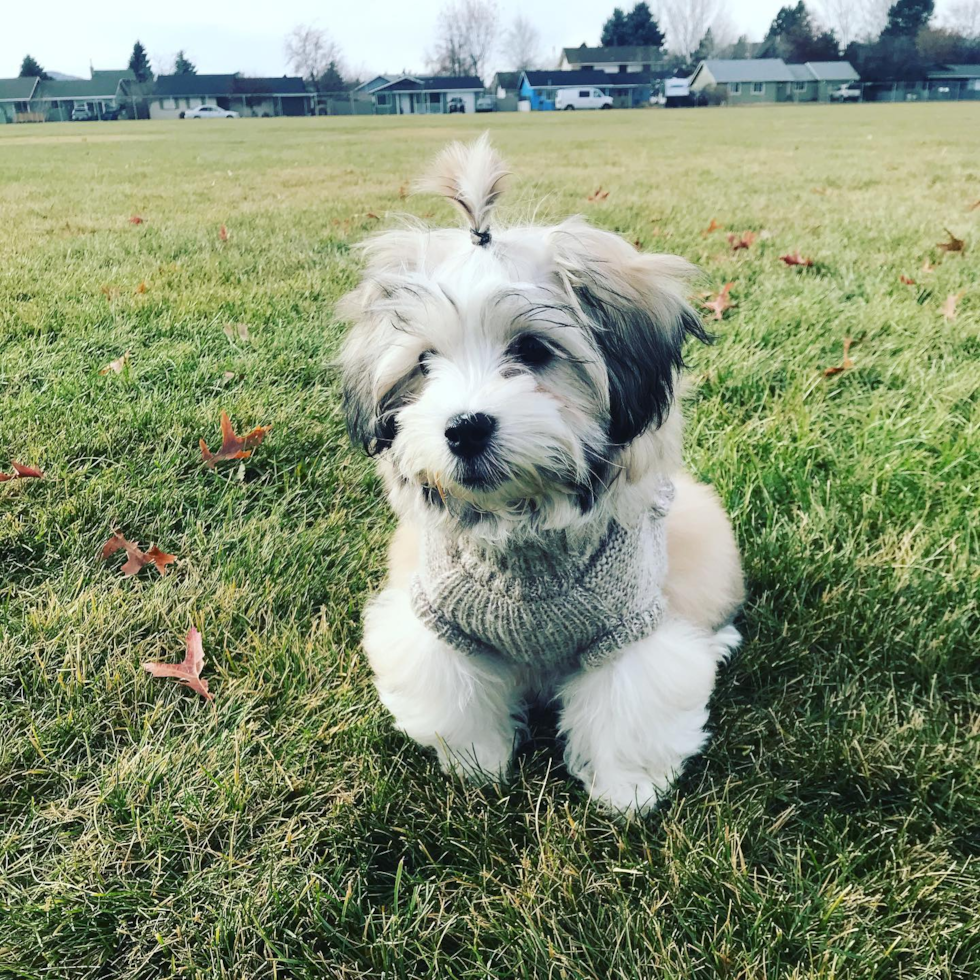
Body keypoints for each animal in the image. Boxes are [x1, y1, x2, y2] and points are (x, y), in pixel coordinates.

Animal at [336, 134, 744, 816]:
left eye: (532, 350)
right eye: (424, 362)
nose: (464, 427)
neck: (523, 540)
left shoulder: (631, 626)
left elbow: (631, 698)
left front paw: (627, 791)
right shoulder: (439, 623)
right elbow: (453, 689)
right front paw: (476, 766)